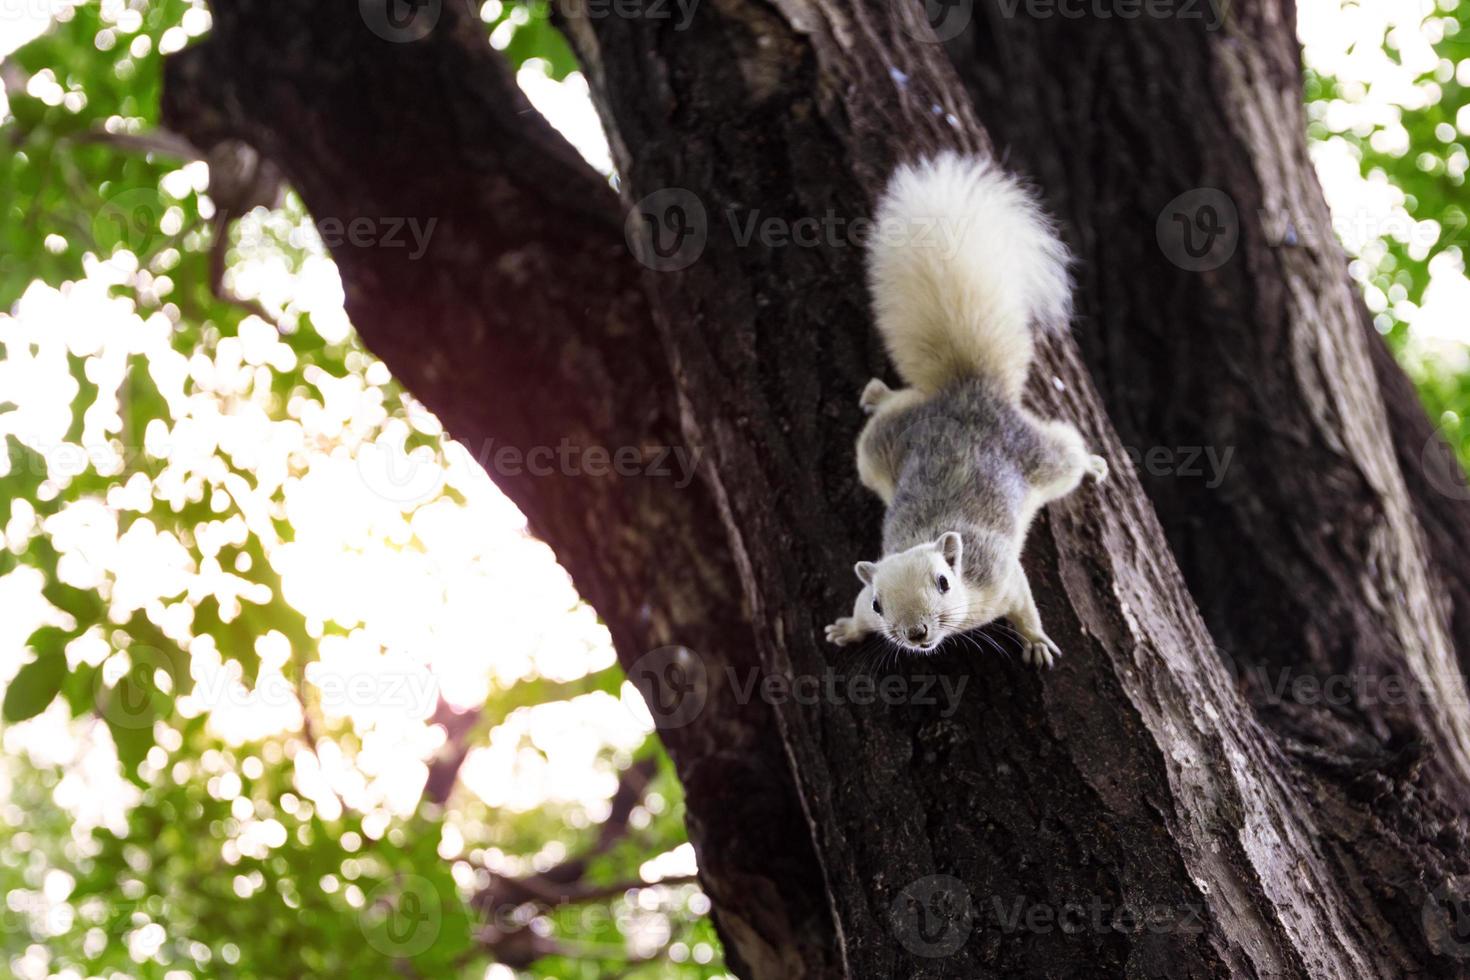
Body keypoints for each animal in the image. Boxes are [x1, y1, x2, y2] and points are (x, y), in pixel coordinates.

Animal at [829, 153, 1105, 669]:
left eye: (944, 582)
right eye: (878, 603)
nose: (916, 633)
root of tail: (968, 387)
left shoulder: (1000, 575)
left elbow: (1025, 603)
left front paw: (1036, 641)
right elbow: (854, 614)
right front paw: (846, 629)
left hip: (1041, 458)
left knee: (1067, 451)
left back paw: (1094, 463)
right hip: (875, 451)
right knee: (894, 407)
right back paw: (878, 394)